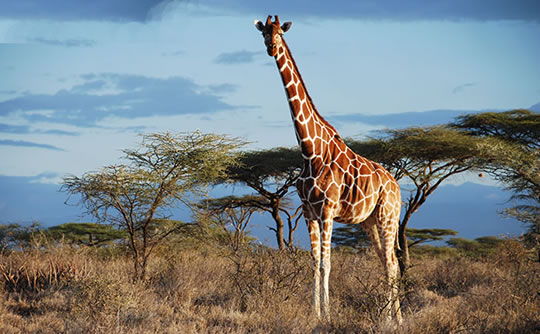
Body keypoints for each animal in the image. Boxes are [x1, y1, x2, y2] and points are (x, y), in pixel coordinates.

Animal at [255, 16, 402, 324]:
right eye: (263, 33)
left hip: (388, 217)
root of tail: (397, 187)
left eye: (280, 33)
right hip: (370, 222)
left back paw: (392, 319)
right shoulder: (308, 212)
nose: (271, 48)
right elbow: (314, 263)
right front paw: (315, 313)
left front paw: (328, 315)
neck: (310, 151)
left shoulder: (327, 210)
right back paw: (393, 318)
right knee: (388, 262)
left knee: (392, 263)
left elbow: (327, 263)